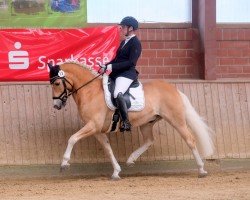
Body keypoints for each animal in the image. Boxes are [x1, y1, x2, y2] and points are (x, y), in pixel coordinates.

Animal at [48, 61, 215, 180]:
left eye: (56, 83)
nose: (56, 105)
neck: (90, 91)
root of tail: (174, 89)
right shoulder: (97, 130)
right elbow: (108, 149)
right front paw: (116, 172)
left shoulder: (93, 126)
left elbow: (72, 138)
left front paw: (64, 163)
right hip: (147, 123)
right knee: (149, 140)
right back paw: (131, 159)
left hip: (176, 120)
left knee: (190, 140)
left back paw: (201, 170)